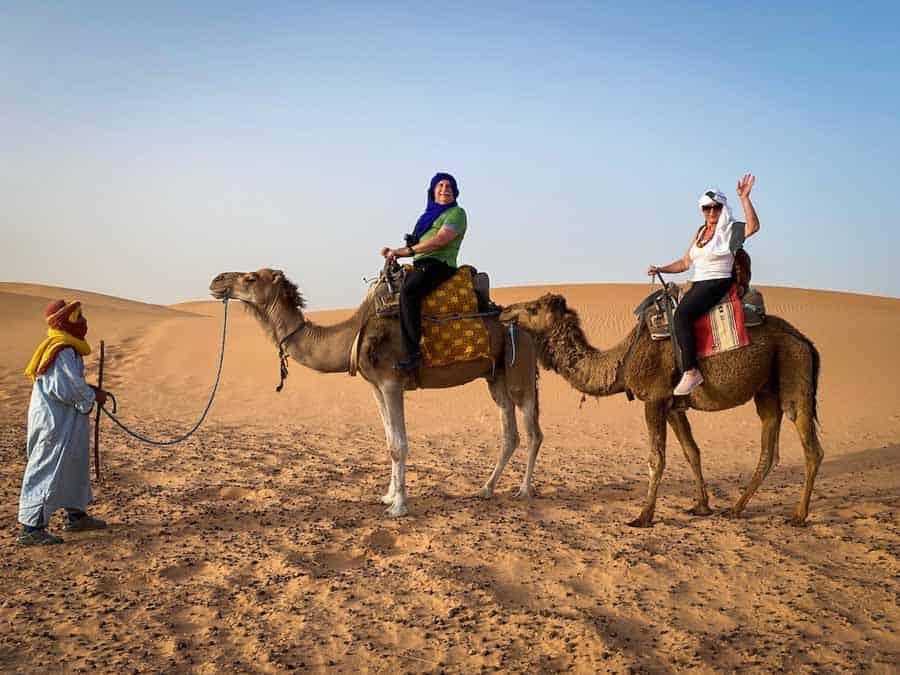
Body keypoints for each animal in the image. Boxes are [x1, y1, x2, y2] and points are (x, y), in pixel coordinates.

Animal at [209, 266, 540, 516]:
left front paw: (399, 507)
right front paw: (388, 496)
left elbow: (399, 445)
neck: (352, 336)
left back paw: (523, 491)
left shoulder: (391, 382)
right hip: (496, 377)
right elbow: (389, 440)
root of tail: (526, 329)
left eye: (251, 278)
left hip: (520, 370)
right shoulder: (376, 387)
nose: (217, 280)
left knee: (533, 432)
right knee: (510, 433)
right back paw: (486, 488)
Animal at [496, 294, 828, 528]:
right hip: (767, 390)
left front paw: (643, 516)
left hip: (793, 373)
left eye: (534, 308)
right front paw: (702, 506)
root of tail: (806, 341)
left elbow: (656, 458)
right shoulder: (673, 405)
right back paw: (735, 508)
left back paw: (798, 515)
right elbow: (692, 451)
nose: (504, 311)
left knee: (811, 448)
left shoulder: (654, 399)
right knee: (769, 449)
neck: (623, 360)